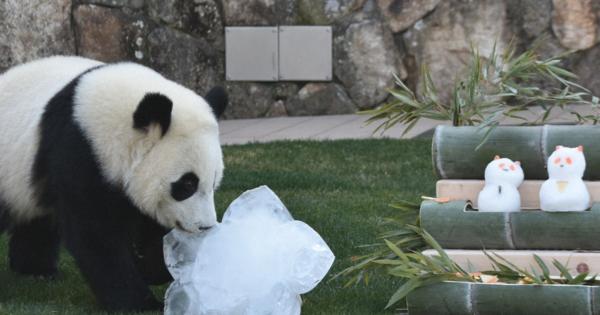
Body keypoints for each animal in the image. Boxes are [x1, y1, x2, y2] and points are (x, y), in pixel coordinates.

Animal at [0, 56, 229, 312]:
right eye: (187, 185)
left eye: (214, 182)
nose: (205, 227)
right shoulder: (79, 151)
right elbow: (96, 235)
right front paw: (140, 303)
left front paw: (152, 267)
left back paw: (36, 271)